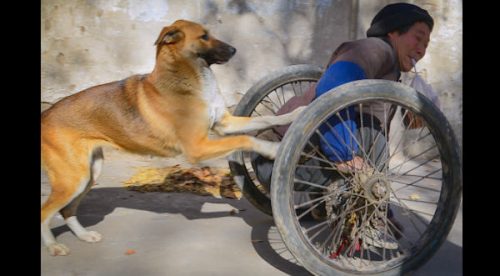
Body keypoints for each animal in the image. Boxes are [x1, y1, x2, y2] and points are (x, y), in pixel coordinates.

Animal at [40, 20, 304, 256]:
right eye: (204, 36)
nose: (234, 50)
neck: (190, 79)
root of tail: (45, 115)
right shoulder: (198, 147)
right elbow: (245, 140)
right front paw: (271, 148)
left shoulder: (223, 125)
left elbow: (265, 120)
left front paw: (295, 113)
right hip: (72, 179)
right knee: (45, 212)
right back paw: (53, 246)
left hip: (89, 174)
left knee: (67, 211)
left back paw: (84, 235)